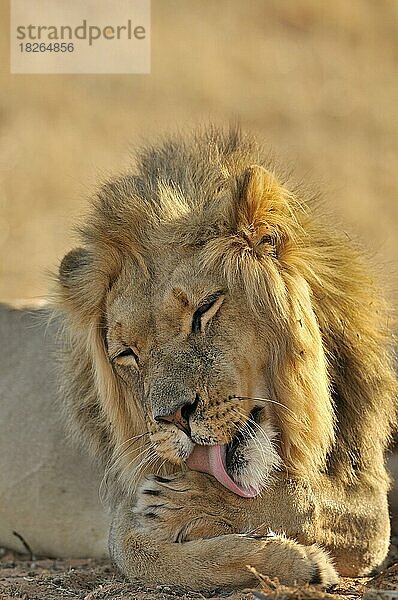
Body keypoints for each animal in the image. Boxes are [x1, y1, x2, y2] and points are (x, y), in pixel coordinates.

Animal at [1, 126, 396, 592]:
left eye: (204, 310)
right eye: (127, 354)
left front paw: (190, 503)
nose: (174, 417)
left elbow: (308, 502)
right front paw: (299, 562)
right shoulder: (125, 515)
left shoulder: (370, 500)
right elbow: (147, 557)